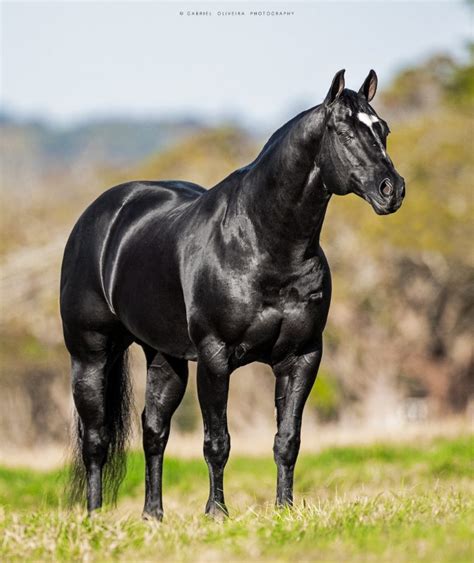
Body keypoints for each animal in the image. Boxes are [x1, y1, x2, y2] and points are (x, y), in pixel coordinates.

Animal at [61, 70, 404, 520]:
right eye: (344, 131)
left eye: (383, 128)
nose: (392, 190)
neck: (262, 244)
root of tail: (99, 216)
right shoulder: (215, 356)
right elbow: (217, 442)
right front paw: (216, 513)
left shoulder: (303, 356)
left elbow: (287, 440)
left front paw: (284, 509)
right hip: (91, 355)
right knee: (96, 439)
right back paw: (94, 516)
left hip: (165, 357)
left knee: (154, 430)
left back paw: (153, 515)